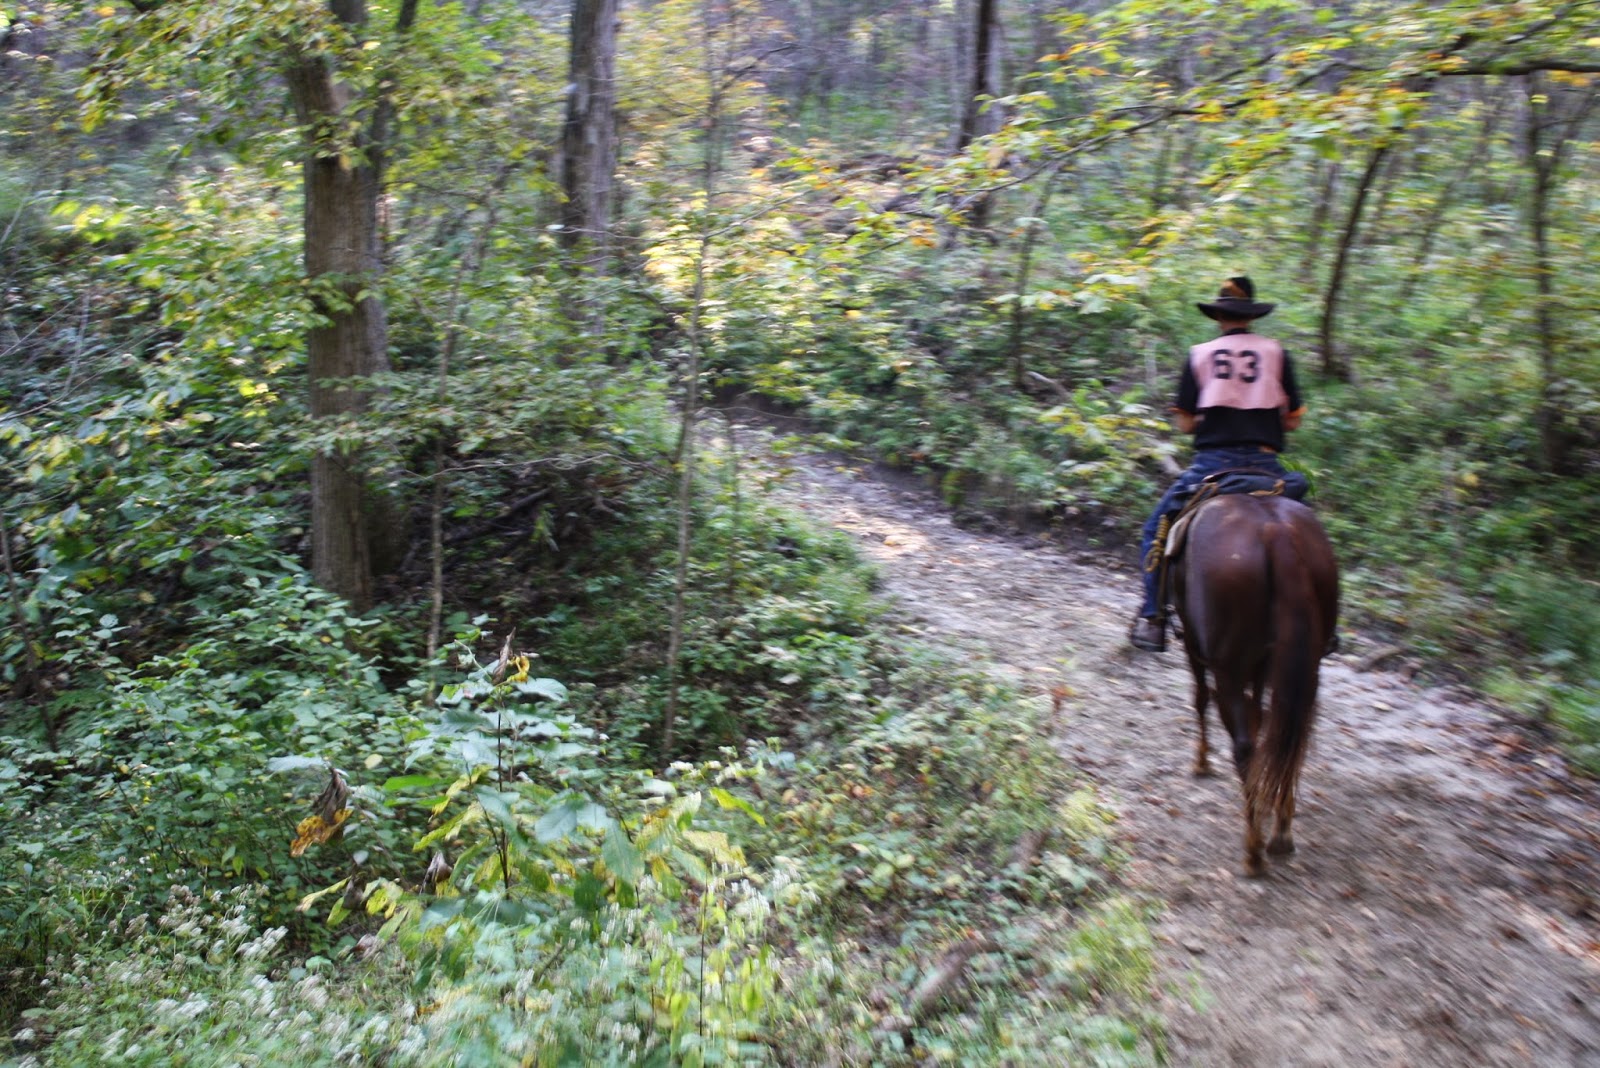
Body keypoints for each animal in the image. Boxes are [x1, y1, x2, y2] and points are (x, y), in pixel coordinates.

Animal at [1168, 493, 1339, 877]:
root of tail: (1277, 533)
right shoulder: (1262, 670)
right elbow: (1262, 719)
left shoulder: (1194, 646)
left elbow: (1200, 698)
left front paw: (1201, 762)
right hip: (1306, 670)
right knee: (1292, 739)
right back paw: (1281, 834)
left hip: (1227, 668)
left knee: (1244, 747)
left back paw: (1253, 851)